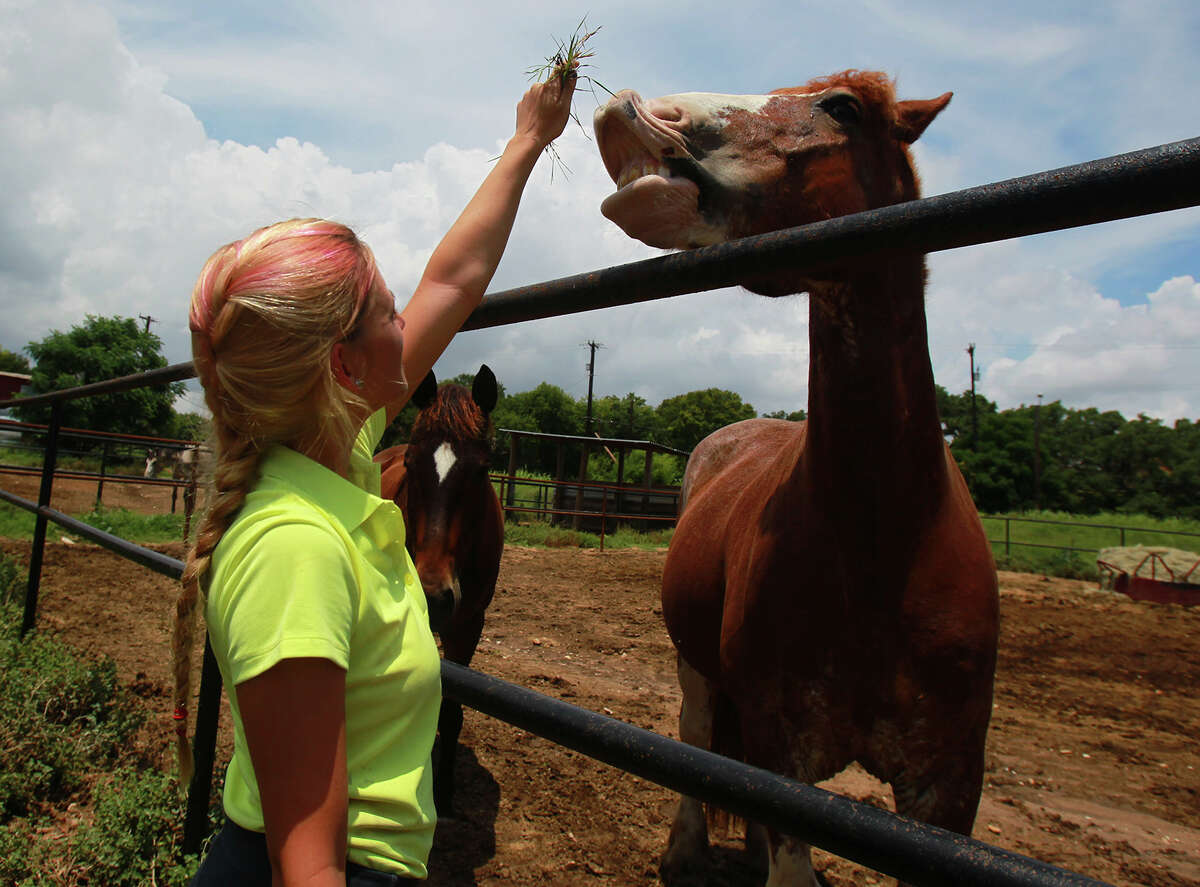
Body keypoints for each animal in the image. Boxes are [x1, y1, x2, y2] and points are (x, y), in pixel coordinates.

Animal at [375, 365, 505, 816]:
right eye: (412, 465)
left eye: (482, 469)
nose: (433, 595)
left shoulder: (468, 625)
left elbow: (450, 711)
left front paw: (445, 792)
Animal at [594, 70, 1000, 886]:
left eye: (841, 106)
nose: (635, 110)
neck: (886, 542)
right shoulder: (785, 756)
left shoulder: (948, 788)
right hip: (695, 664)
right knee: (696, 731)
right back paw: (685, 850)